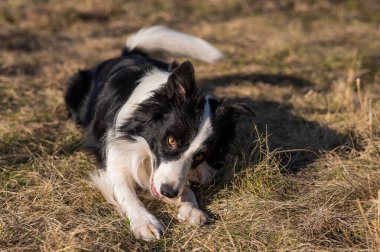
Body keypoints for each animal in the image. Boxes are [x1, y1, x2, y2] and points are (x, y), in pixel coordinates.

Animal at [64, 26, 249, 241]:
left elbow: (184, 186)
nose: (168, 193)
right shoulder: (116, 163)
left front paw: (191, 207)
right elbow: (128, 194)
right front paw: (145, 222)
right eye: (171, 140)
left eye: (201, 155)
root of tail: (127, 54)